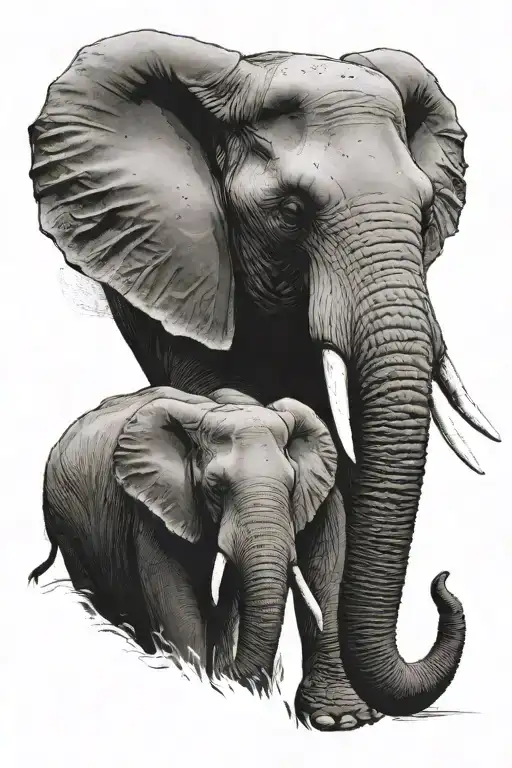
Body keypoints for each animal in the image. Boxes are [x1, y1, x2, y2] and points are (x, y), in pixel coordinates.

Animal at [29, 386, 338, 685]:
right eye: (216, 487)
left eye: (292, 485)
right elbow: (176, 604)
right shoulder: (151, 507)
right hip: (65, 519)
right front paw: (199, 676)